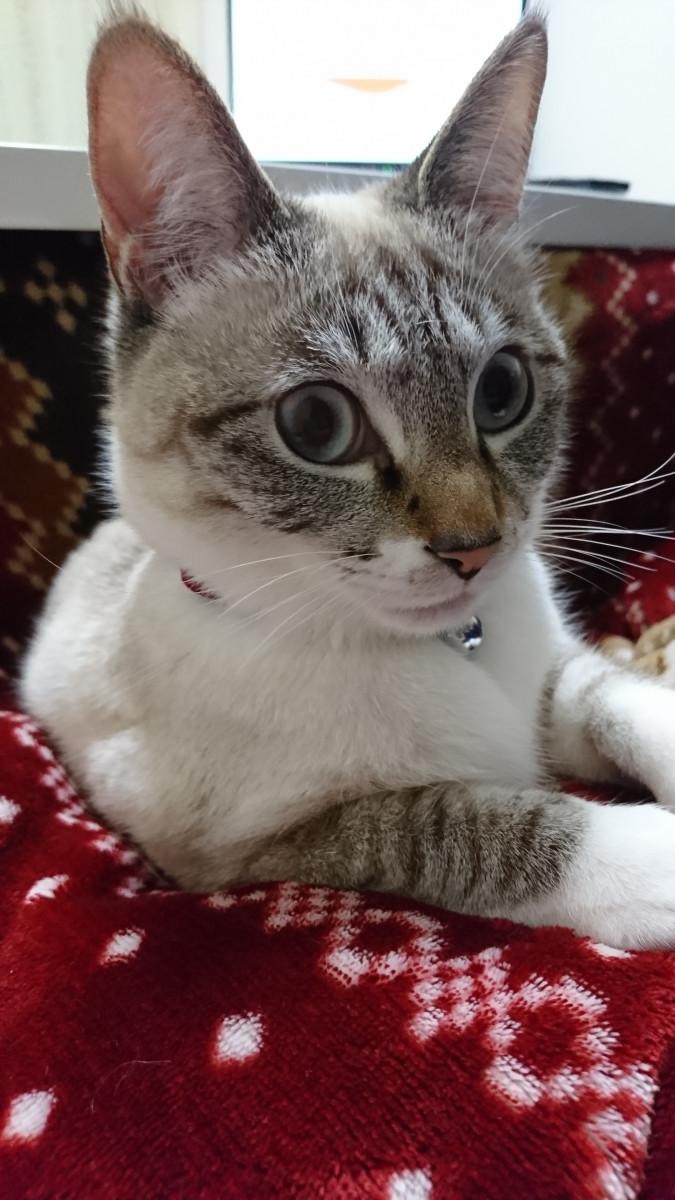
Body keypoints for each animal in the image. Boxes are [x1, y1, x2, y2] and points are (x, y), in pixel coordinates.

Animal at [20, 11, 675, 950]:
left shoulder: (553, 675)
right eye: (316, 427)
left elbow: (623, 700)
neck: (448, 648)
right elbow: (466, 825)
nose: (474, 550)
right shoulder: (252, 848)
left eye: (501, 391)